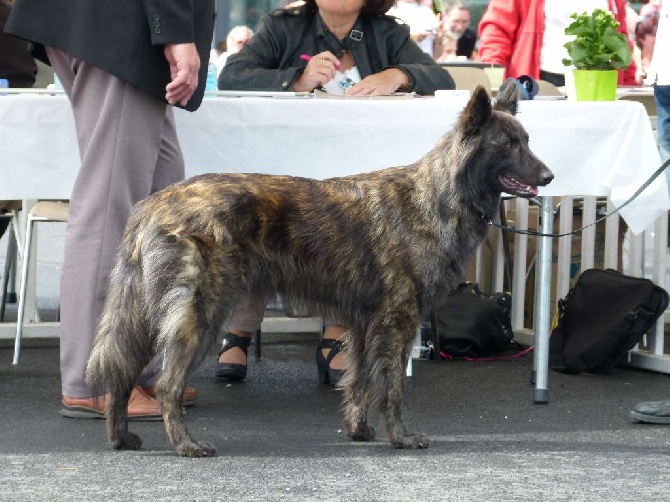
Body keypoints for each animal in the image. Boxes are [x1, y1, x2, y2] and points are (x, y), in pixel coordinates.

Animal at [86, 85, 552, 454]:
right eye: (507, 144)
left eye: (528, 140)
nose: (549, 175)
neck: (437, 196)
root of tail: (152, 204)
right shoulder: (398, 320)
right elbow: (392, 386)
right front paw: (401, 438)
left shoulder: (364, 325)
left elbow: (360, 381)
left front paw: (359, 430)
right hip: (202, 313)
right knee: (168, 384)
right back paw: (186, 444)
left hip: (147, 314)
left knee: (123, 371)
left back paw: (121, 438)